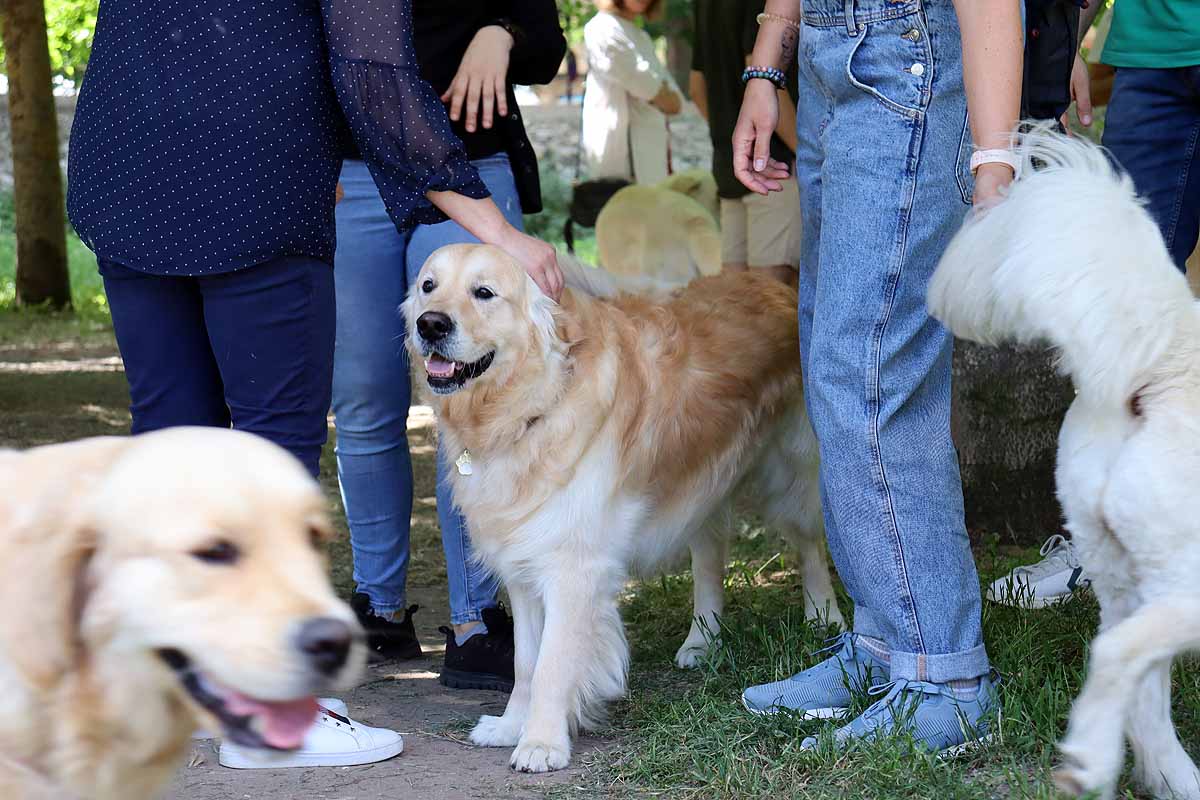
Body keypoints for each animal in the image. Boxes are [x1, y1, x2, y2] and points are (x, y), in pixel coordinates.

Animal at [408, 242, 840, 767]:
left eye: (484, 292)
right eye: (428, 286)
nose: (430, 324)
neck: (534, 403)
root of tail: (772, 277)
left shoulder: (573, 569)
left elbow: (552, 663)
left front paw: (542, 742)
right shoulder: (523, 564)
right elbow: (526, 661)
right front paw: (511, 726)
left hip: (791, 471)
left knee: (811, 544)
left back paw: (825, 617)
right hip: (701, 481)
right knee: (709, 556)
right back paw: (702, 640)